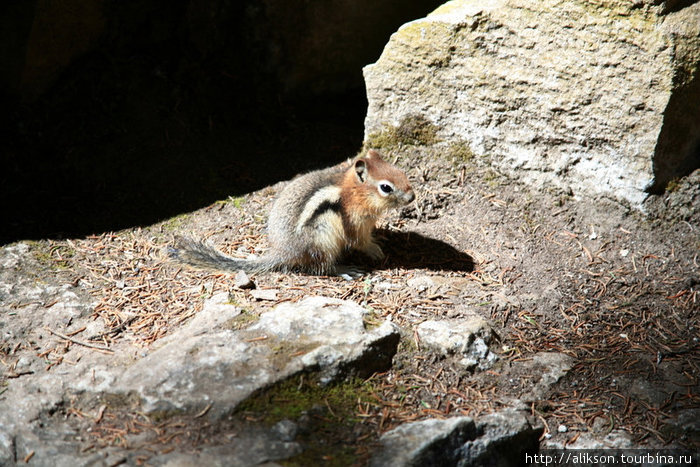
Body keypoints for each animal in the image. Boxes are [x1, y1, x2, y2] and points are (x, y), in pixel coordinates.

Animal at [172, 149, 412, 278]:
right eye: (385, 187)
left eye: (401, 172)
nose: (412, 197)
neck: (355, 193)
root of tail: (284, 251)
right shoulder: (353, 222)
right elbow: (359, 242)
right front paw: (374, 250)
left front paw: (380, 237)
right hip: (322, 239)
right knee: (322, 266)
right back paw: (345, 269)